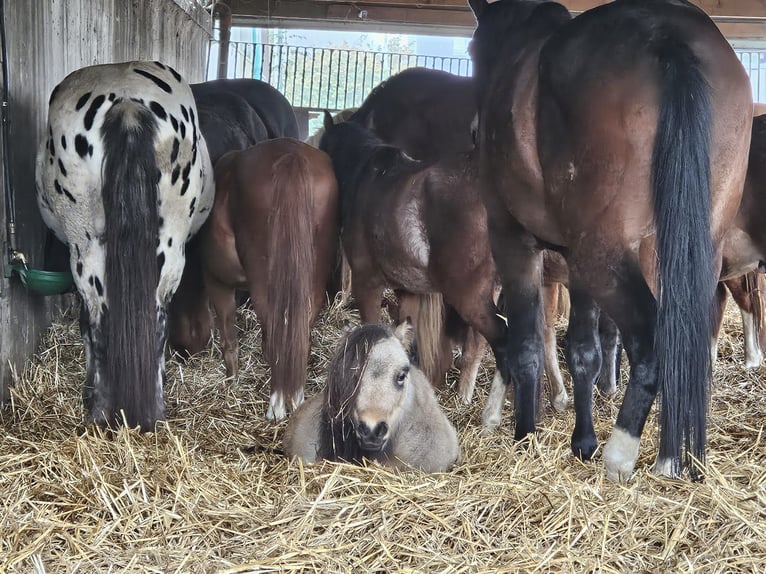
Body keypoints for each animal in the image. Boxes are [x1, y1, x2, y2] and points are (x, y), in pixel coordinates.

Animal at [36, 62, 214, 432]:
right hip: (166, 250)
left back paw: (104, 409)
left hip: (87, 249)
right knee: (153, 319)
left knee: (102, 319)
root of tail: (127, 102)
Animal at [472, 0, 752, 482]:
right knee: (685, 343)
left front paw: (525, 435)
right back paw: (671, 457)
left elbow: (526, 343)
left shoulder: (513, 240)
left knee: (654, 341)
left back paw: (621, 455)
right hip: (684, 252)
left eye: (471, 53)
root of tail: (668, 35)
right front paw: (581, 441)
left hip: (602, 254)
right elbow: (584, 350)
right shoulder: (573, 261)